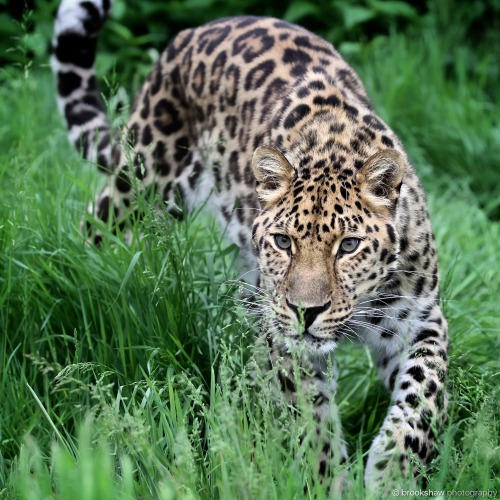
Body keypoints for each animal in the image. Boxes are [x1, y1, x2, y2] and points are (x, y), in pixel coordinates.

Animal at [51, 0, 450, 492]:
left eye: (349, 245)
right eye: (283, 241)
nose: (305, 312)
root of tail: (196, 31)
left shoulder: (418, 319)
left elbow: (426, 397)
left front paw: (393, 474)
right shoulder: (288, 342)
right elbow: (311, 423)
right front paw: (326, 484)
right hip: (144, 185)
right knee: (94, 230)